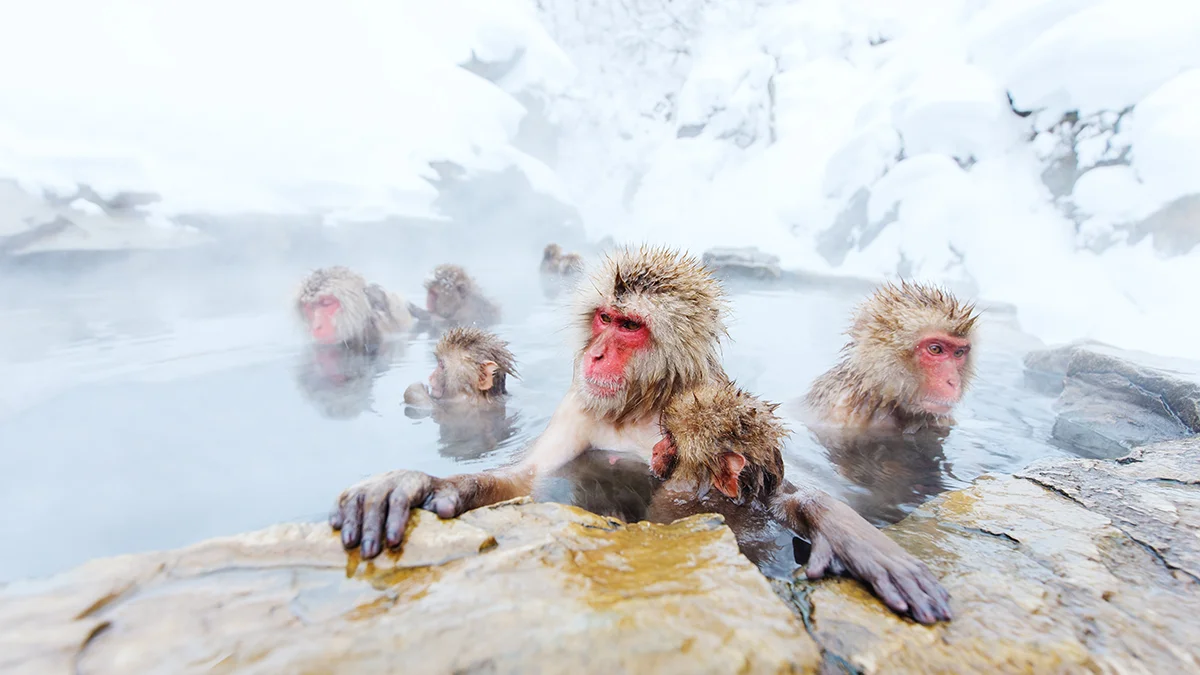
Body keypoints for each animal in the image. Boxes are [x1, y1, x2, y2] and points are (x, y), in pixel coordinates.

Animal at [329, 246, 952, 625]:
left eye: (629, 326)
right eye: (604, 318)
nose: (598, 353)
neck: (643, 405)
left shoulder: (710, 399)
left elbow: (773, 489)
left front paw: (848, 532)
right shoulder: (578, 404)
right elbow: (529, 476)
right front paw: (419, 484)